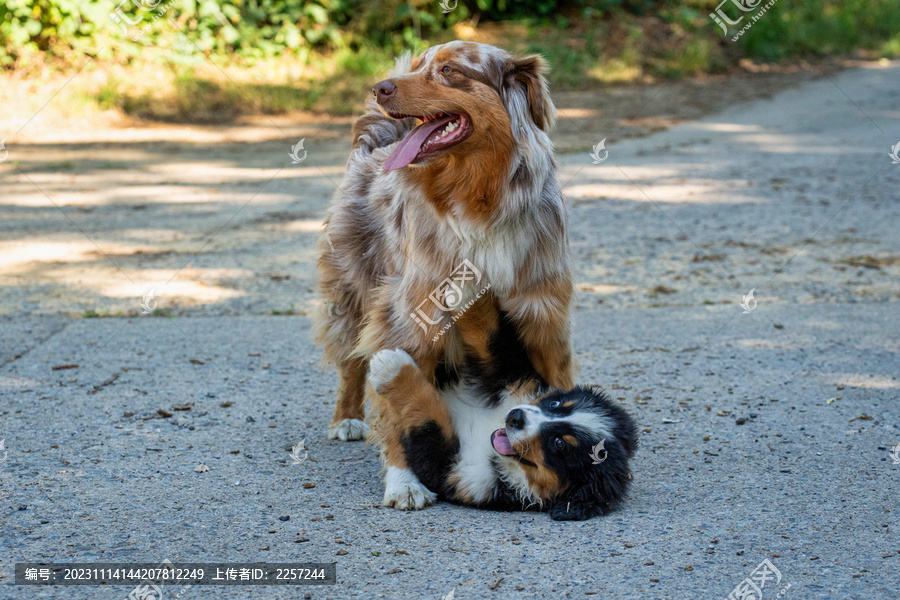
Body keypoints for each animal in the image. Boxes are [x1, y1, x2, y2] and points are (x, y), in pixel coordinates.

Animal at [362, 300, 636, 520]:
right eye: (556, 404)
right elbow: (490, 336)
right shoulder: (510, 375)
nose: (515, 417)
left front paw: (391, 367)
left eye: (559, 444)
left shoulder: (454, 471)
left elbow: (430, 416)